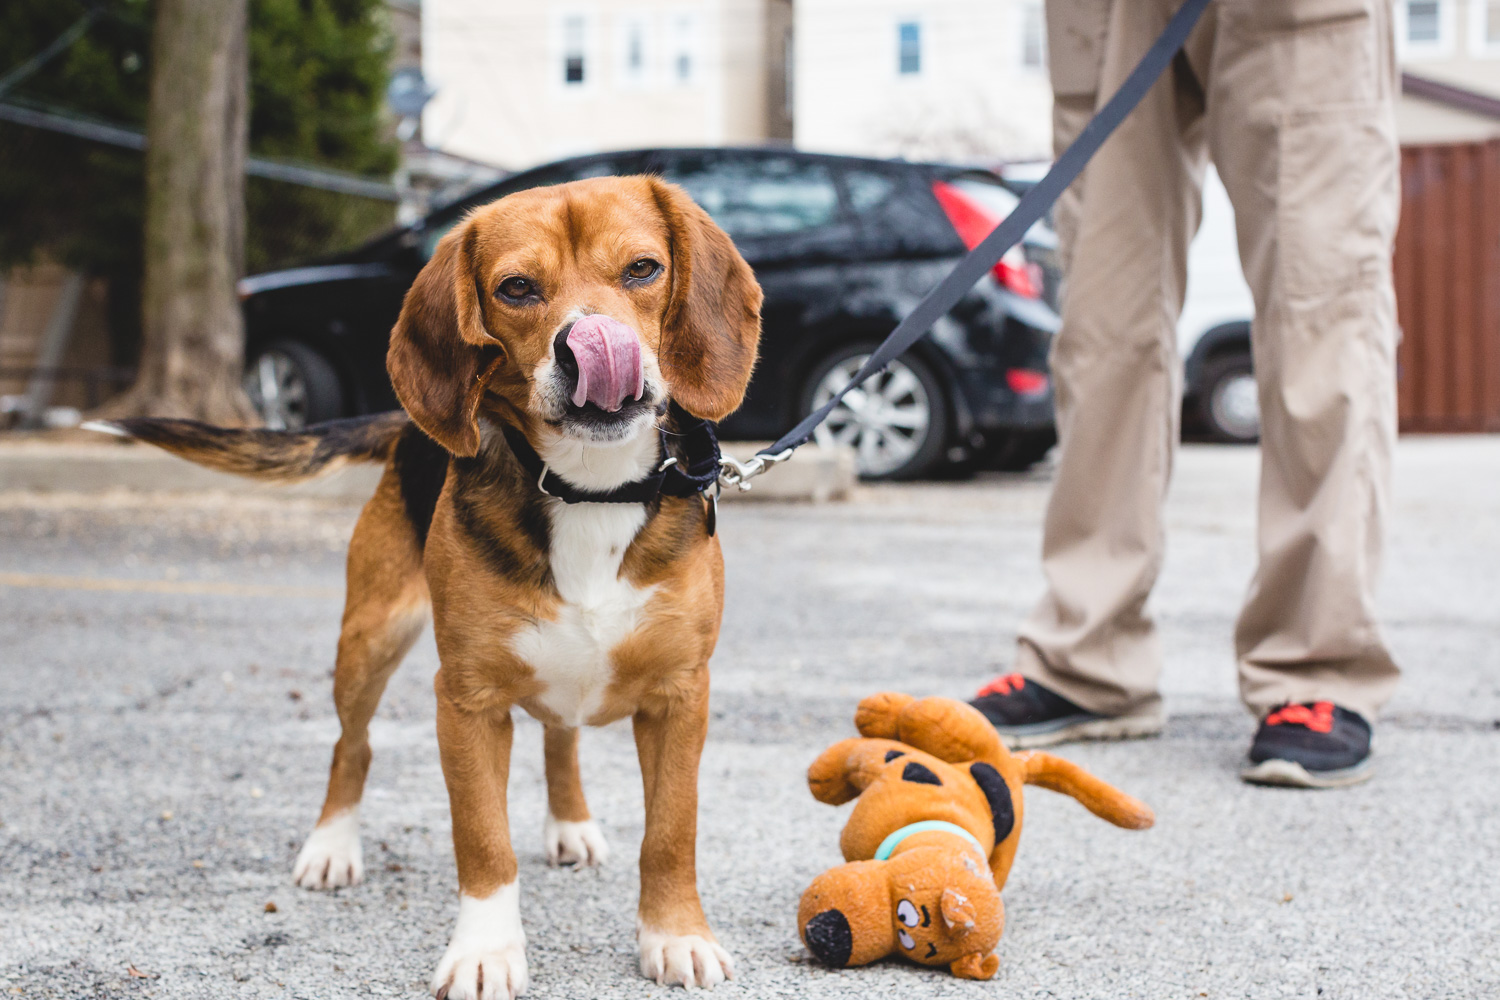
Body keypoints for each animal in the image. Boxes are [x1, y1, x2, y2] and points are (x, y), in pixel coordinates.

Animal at [86, 176, 762, 995]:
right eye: (516, 288)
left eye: (642, 270)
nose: (593, 347)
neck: (587, 489)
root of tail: (409, 425)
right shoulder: (466, 700)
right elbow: (483, 839)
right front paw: (485, 952)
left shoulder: (681, 694)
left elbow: (670, 830)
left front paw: (675, 935)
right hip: (368, 640)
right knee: (352, 746)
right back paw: (331, 846)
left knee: (560, 738)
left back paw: (569, 824)